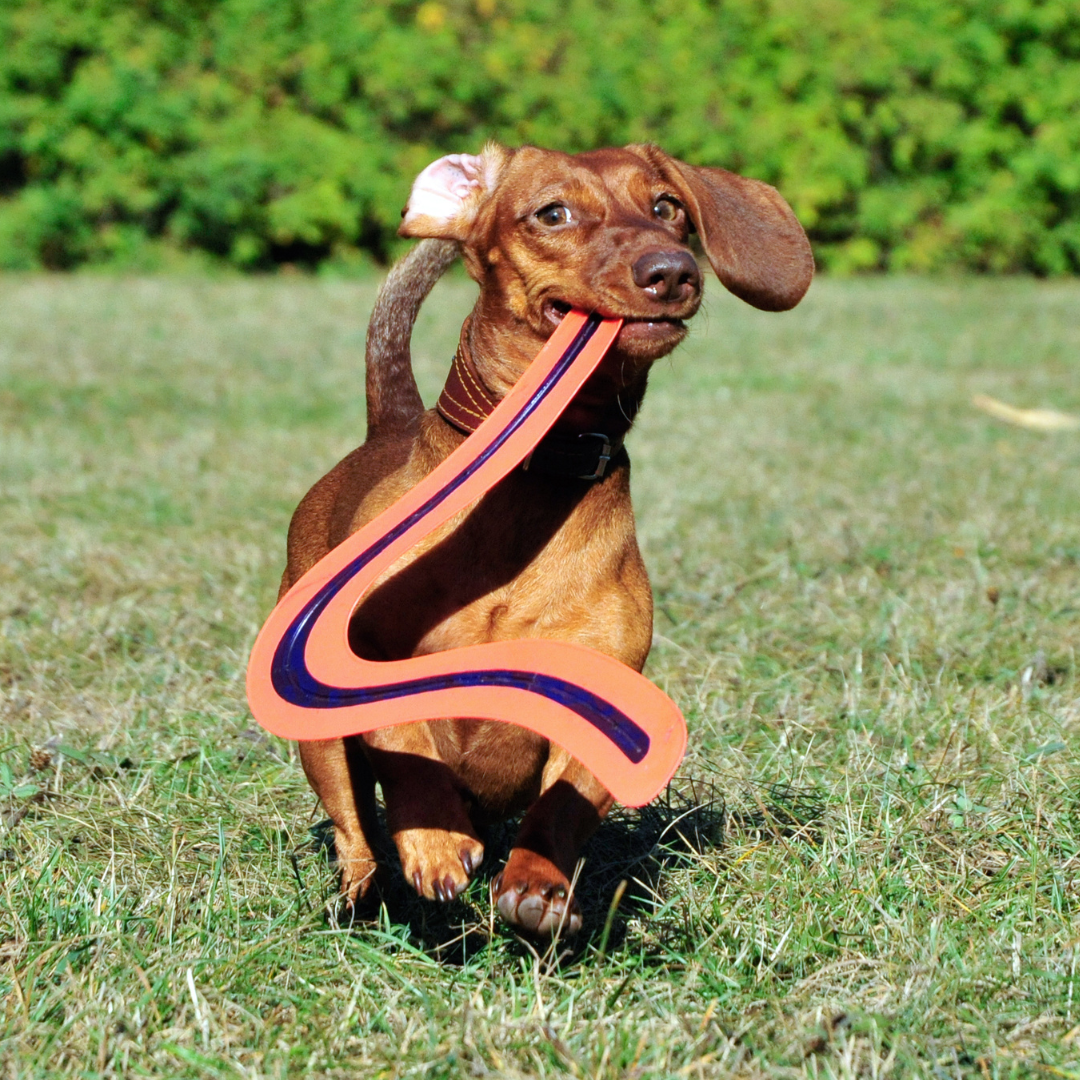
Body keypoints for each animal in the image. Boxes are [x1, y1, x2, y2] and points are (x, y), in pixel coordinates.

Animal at [278, 143, 812, 937]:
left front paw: (538, 886)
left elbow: (562, 809)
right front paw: (434, 840)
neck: (530, 484)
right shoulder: (362, 660)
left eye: (667, 207)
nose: (671, 271)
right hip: (319, 744)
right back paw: (363, 893)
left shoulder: (595, 696)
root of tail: (386, 427)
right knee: (352, 827)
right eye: (551, 213)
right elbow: (404, 746)